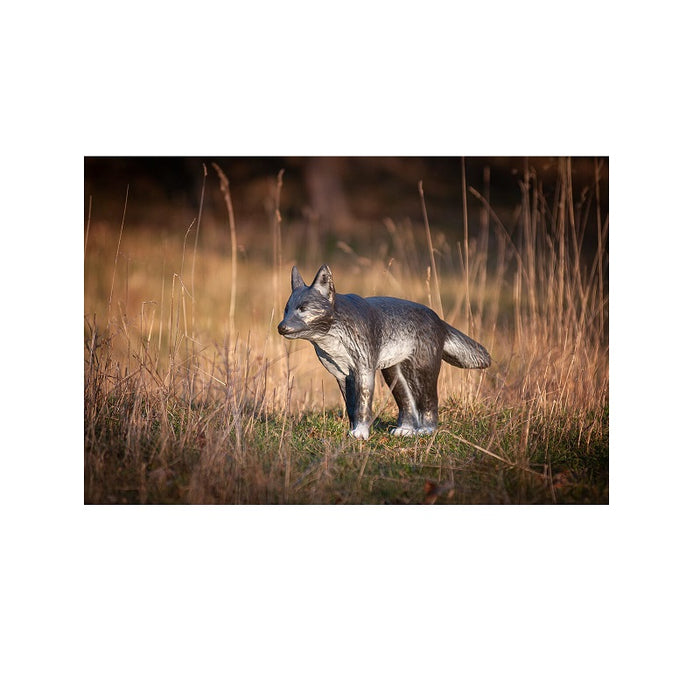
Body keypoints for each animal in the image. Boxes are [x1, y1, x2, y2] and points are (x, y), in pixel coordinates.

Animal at [277, 265, 491, 439]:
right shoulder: (342, 375)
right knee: (407, 404)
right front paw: (354, 431)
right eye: (286, 310)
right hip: (395, 376)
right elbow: (351, 408)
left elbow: (363, 407)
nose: (281, 327)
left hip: (422, 373)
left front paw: (361, 433)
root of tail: (438, 318)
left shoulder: (364, 370)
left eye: (303, 308)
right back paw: (406, 430)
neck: (335, 334)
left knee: (430, 402)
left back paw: (427, 430)